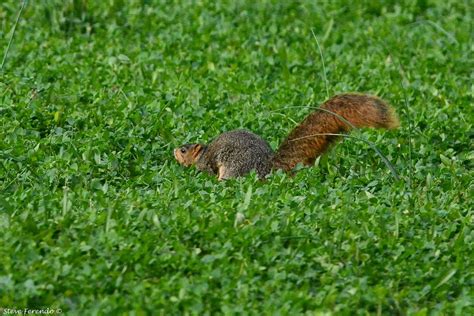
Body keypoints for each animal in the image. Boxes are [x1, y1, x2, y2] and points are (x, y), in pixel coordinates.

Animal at [172, 93, 398, 180]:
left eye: (183, 150)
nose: (174, 150)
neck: (203, 153)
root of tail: (268, 167)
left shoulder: (207, 164)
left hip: (235, 167)